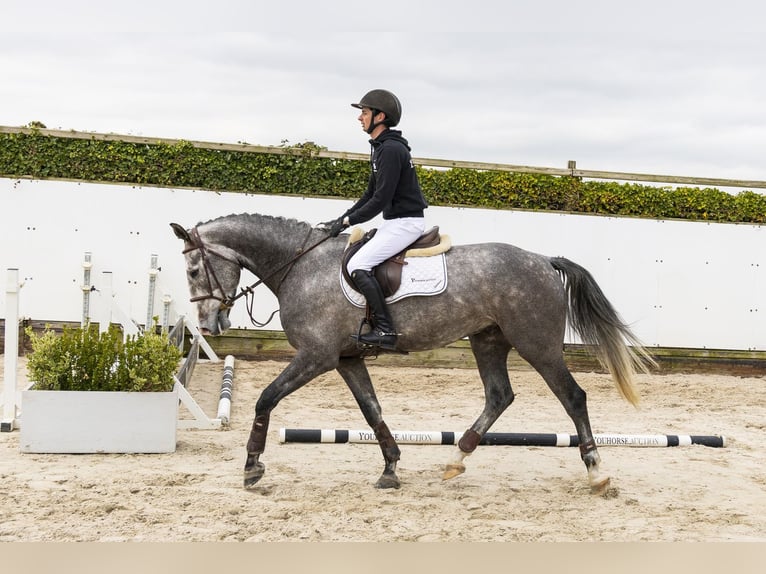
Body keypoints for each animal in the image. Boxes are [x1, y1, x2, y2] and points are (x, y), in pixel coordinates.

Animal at [171, 213, 655, 493]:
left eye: (193, 270)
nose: (210, 325)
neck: (300, 265)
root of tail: (543, 260)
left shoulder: (316, 357)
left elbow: (265, 399)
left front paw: (252, 467)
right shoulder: (346, 359)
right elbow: (372, 411)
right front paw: (390, 469)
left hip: (537, 344)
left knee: (572, 397)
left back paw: (596, 472)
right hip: (489, 340)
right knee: (499, 395)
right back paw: (455, 460)